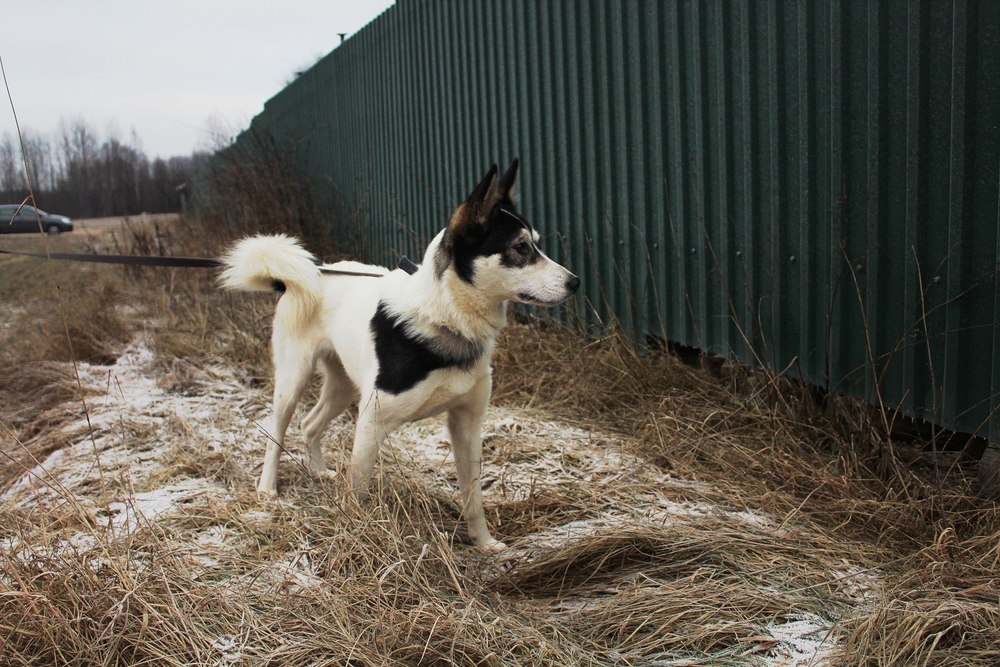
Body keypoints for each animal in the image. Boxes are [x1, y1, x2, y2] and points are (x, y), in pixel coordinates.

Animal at [219, 159, 580, 552]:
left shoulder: (467, 425)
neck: (446, 319)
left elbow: (473, 498)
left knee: (309, 424)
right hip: (293, 378)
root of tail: (308, 273)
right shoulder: (371, 424)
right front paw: (357, 539)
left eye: (536, 245)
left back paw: (319, 470)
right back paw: (267, 488)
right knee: (278, 430)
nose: (575, 282)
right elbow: (357, 494)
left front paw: (484, 544)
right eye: (520, 248)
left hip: (344, 385)